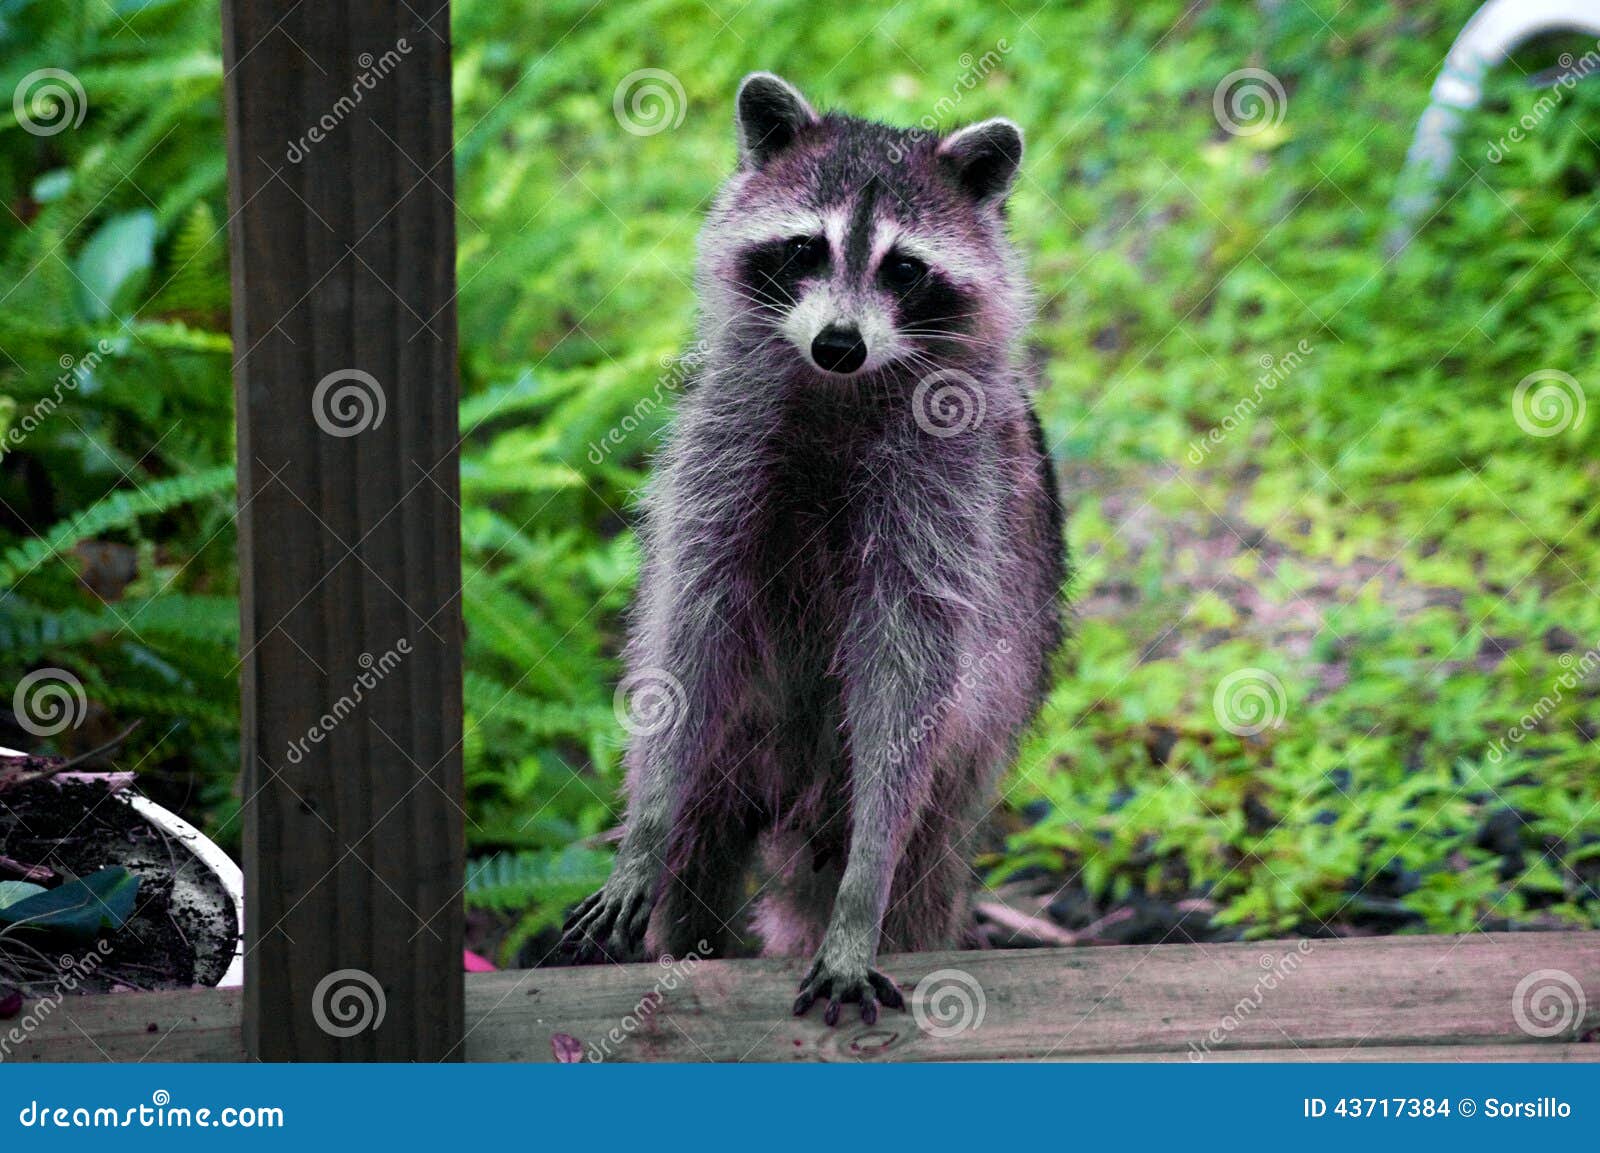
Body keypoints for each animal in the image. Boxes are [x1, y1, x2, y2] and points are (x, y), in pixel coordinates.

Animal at [561, 72, 1067, 1026]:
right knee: (697, 846)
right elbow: (690, 630)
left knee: (924, 862)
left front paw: (860, 901)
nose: (838, 343)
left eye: (903, 267)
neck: (839, 393)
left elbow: (910, 680)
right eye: (805, 247)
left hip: (962, 772)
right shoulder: (719, 457)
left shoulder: (948, 497)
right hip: (735, 749)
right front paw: (641, 835)